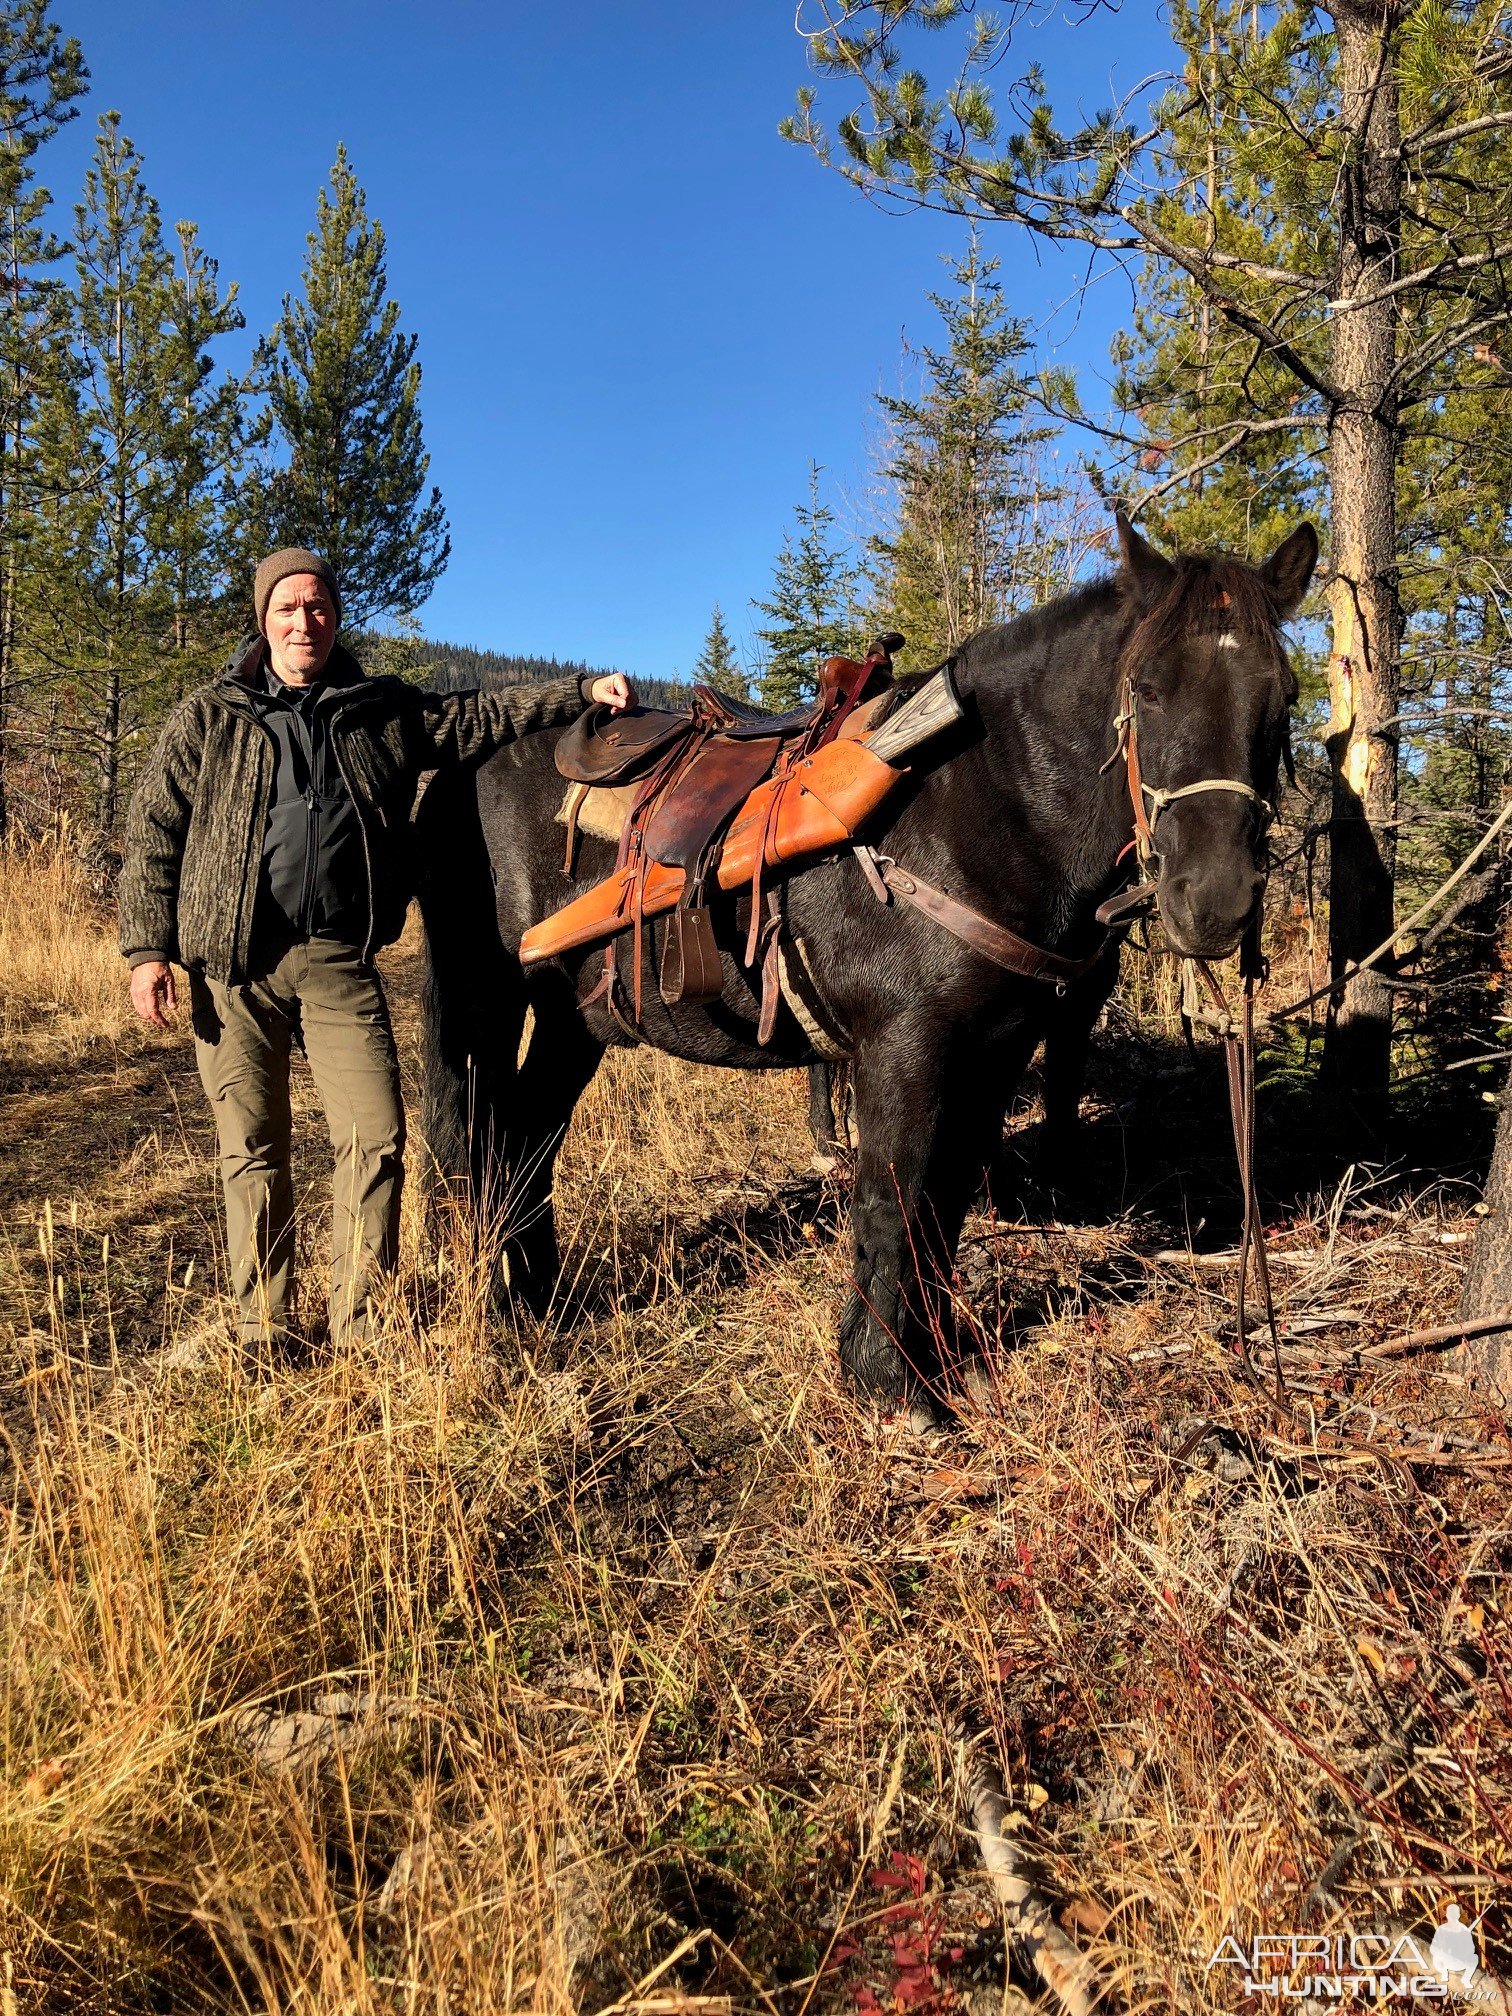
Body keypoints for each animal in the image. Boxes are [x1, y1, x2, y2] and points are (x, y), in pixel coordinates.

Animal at [421, 520, 1322, 1403]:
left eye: (1283, 699)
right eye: (1148, 689)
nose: (1214, 899)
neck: (979, 808)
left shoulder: (995, 1050)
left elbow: (945, 1199)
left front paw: (935, 1353)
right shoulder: (903, 1046)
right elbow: (892, 1199)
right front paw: (887, 1382)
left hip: (578, 1020)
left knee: (529, 1139)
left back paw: (541, 1300)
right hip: (488, 999)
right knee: (489, 1142)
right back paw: (504, 1307)